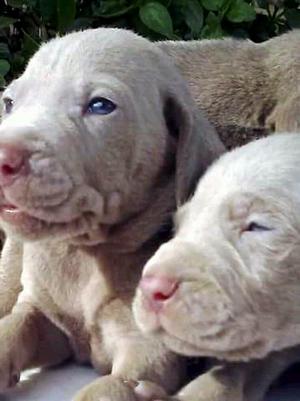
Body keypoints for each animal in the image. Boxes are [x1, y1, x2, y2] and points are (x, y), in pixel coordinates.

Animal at [0, 28, 225, 400]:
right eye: (9, 103)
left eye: (100, 105)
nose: (2, 157)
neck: (84, 253)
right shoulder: (43, 315)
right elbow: (11, 329)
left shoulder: (148, 351)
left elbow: (106, 389)